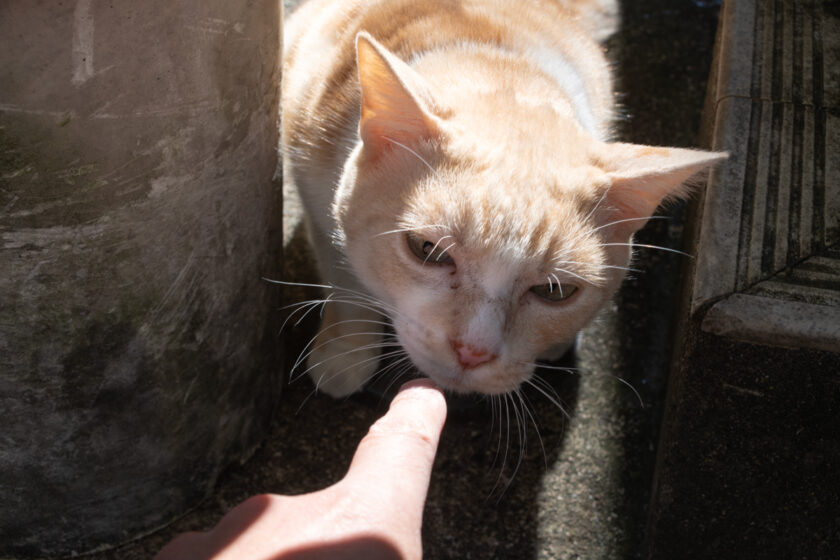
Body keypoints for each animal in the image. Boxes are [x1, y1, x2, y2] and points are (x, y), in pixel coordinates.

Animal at [280, 0, 720, 398]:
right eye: (426, 249)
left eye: (555, 292)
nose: (473, 352)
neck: (496, 66)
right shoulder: (311, 177)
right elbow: (341, 270)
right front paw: (344, 352)